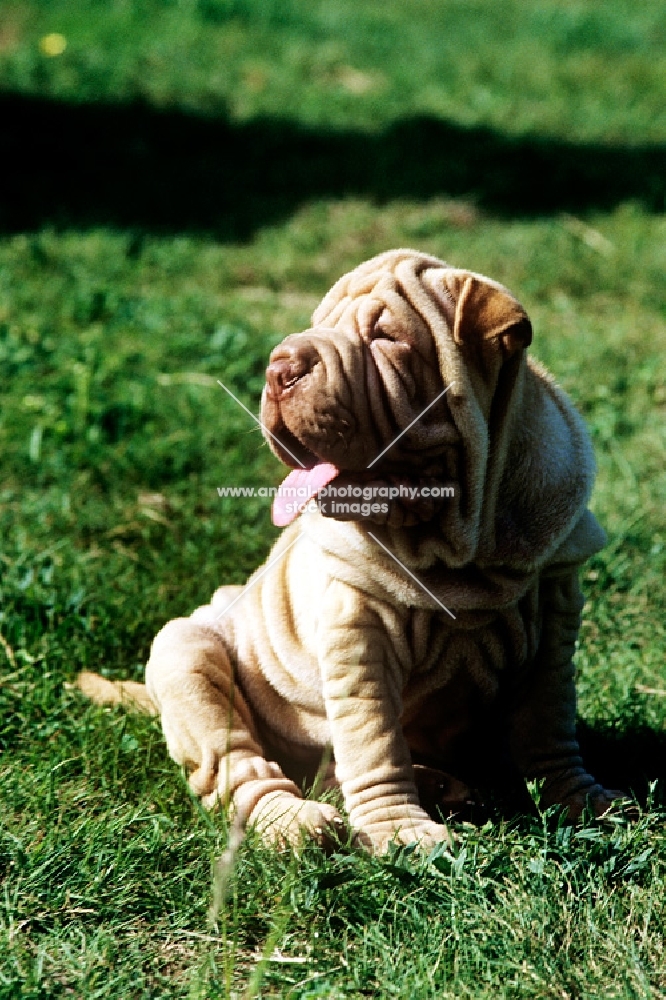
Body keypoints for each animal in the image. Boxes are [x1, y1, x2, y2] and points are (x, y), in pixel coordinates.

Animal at [79, 248, 624, 852]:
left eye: (386, 337)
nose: (279, 366)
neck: (459, 551)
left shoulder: (555, 614)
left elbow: (549, 725)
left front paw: (582, 798)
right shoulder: (357, 632)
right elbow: (375, 739)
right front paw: (401, 829)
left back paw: (439, 784)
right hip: (186, 652)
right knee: (242, 770)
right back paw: (297, 822)